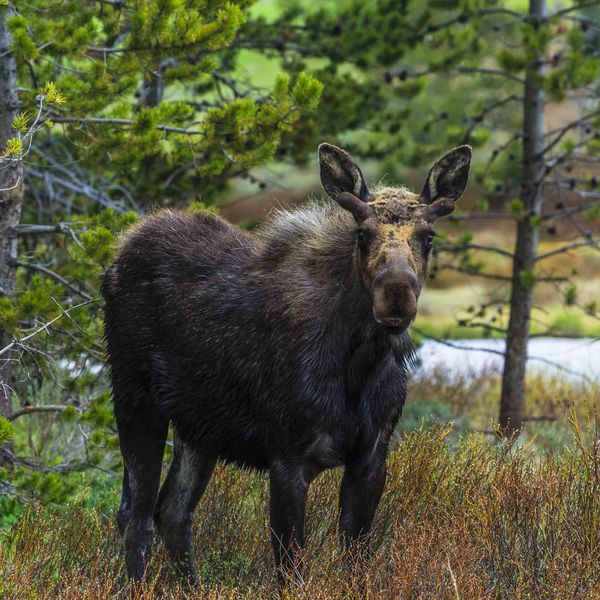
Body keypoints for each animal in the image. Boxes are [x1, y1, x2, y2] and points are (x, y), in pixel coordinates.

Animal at [103, 141, 472, 580]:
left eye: (428, 235)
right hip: (135, 399)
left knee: (172, 511)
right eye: (361, 233)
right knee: (135, 517)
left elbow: (355, 562)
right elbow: (290, 569)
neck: (358, 367)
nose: (396, 294)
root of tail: (118, 254)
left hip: (197, 427)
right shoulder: (286, 457)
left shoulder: (371, 457)